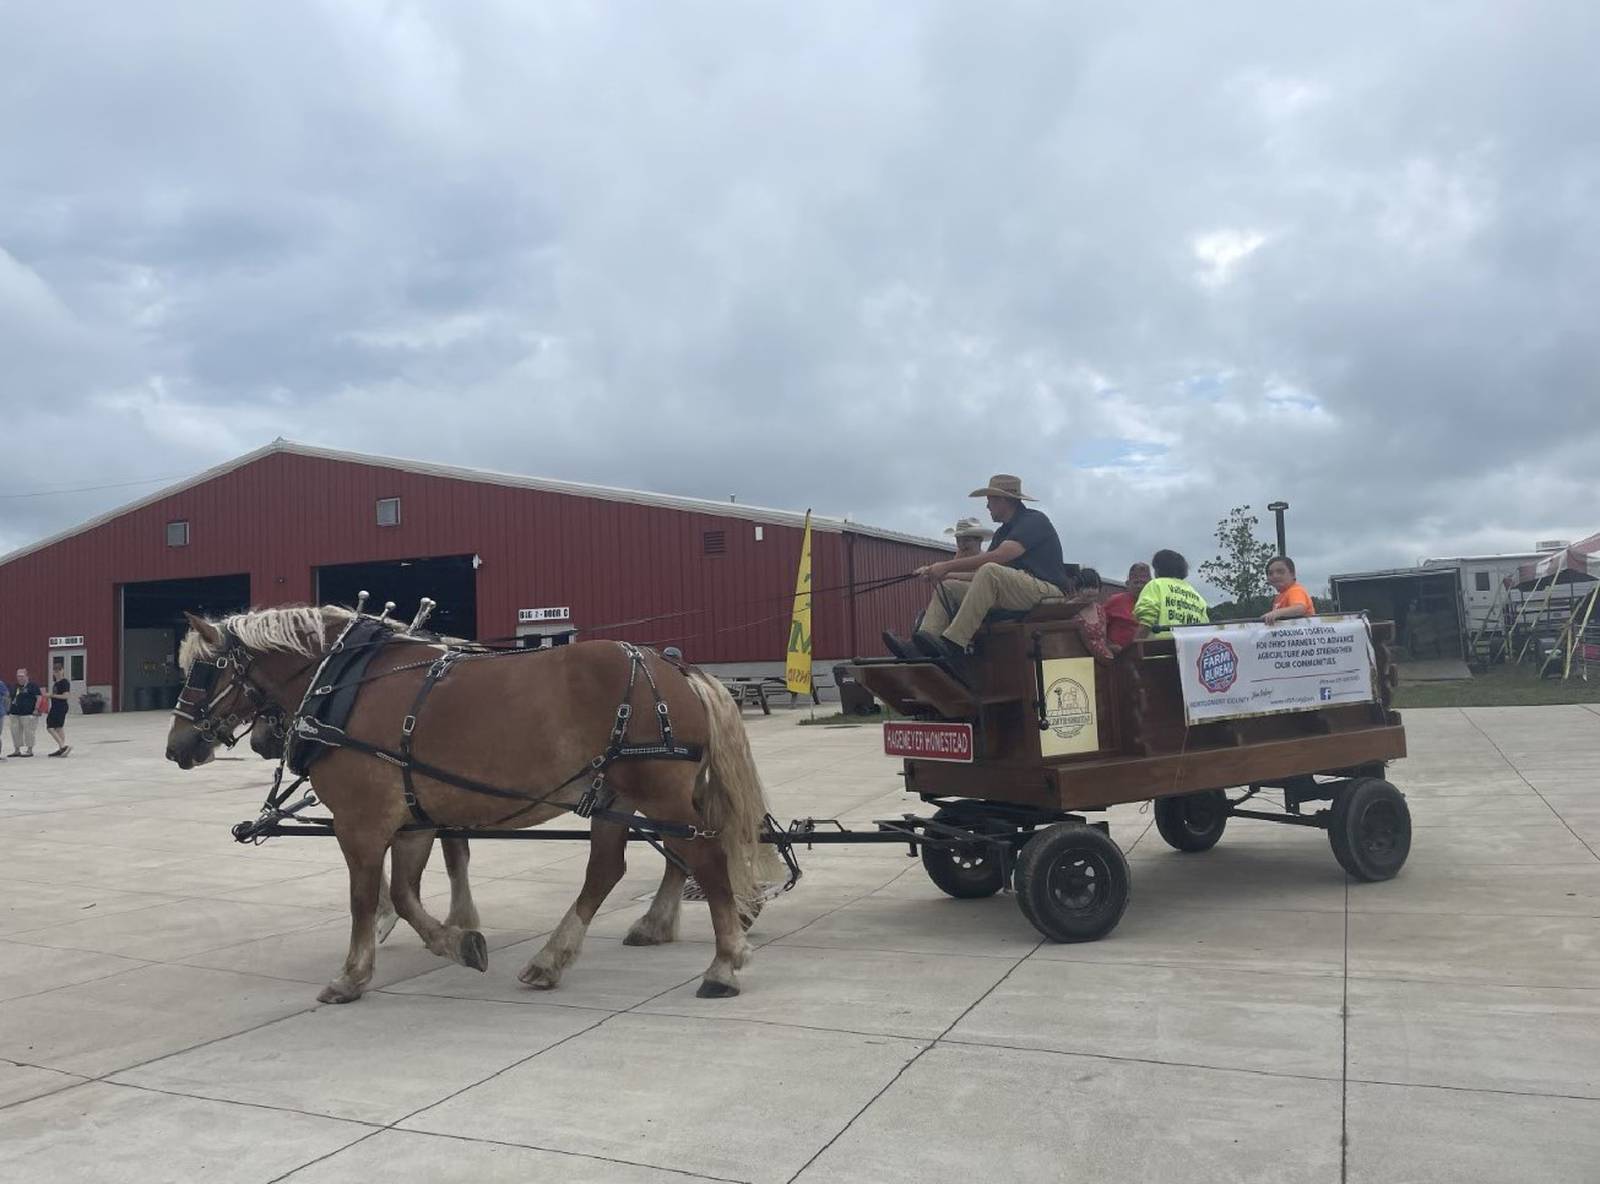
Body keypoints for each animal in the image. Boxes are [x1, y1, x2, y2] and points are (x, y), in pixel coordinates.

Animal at [167, 604, 780, 1004]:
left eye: (202, 669)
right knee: (608, 870)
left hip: (657, 789)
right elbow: (406, 893)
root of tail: (675, 667)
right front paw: (459, 942)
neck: (345, 683)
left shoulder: (360, 823)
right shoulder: (412, 817)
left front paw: (352, 975)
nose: (177, 746)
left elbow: (365, 899)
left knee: (704, 859)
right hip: (616, 791)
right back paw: (552, 959)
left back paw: (724, 963)